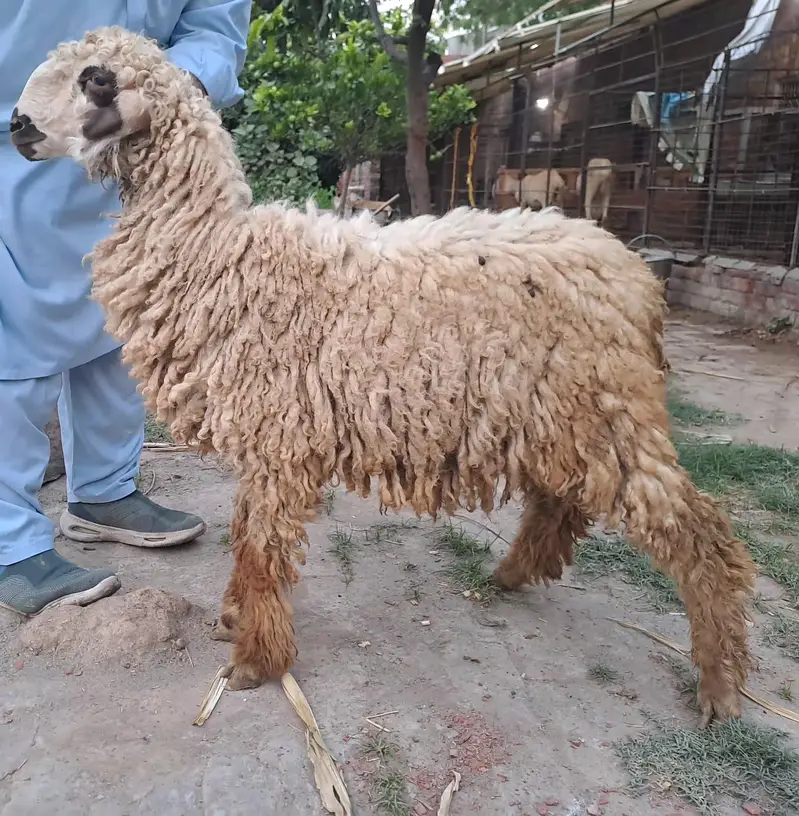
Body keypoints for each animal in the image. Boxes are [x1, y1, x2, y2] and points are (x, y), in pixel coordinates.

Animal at [11, 26, 756, 725]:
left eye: (95, 80)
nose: (16, 126)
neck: (218, 254)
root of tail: (638, 279)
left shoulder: (279, 439)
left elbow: (260, 547)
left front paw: (256, 660)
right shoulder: (268, 439)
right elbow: (248, 535)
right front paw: (235, 621)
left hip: (609, 409)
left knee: (698, 533)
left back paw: (719, 686)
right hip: (558, 409)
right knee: (559, 498)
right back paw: (513, 573)